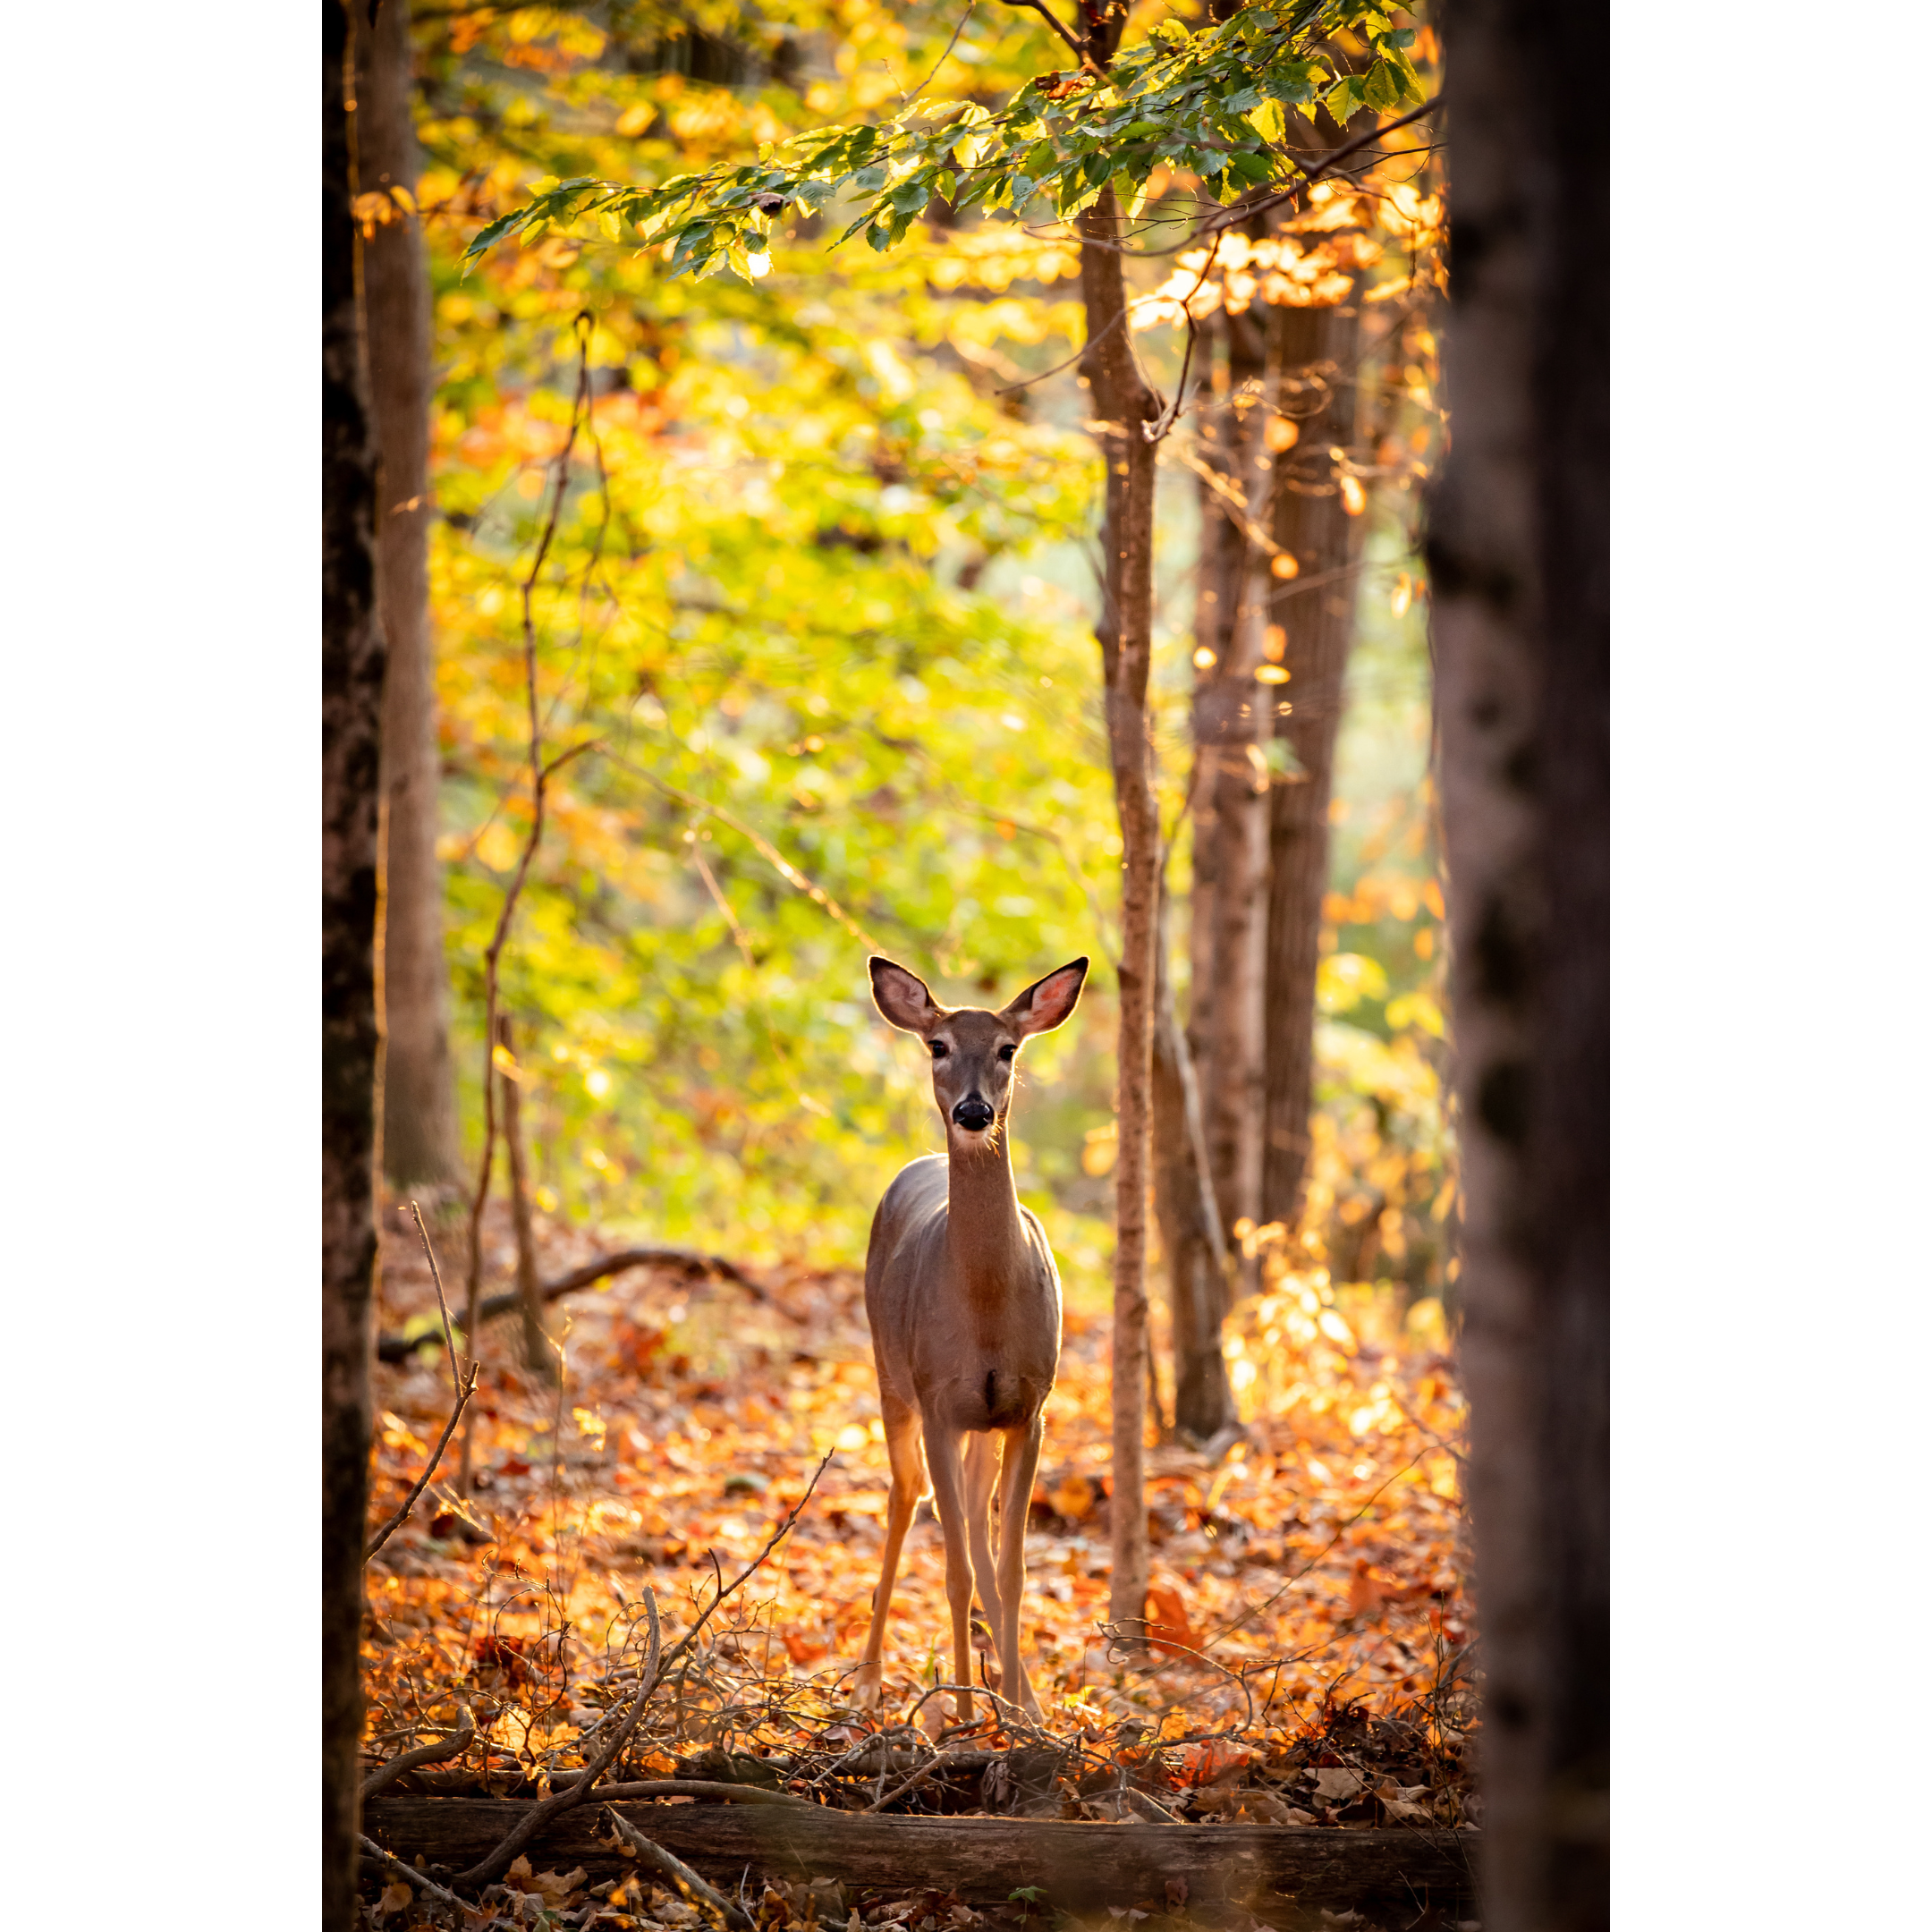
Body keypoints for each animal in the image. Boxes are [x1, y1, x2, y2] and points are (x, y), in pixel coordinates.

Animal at [853, 953, 1089, 1729]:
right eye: (938, 1046)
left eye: (1009, 1049)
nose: (975, 1111)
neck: (985, 1311)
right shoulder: (938, 1401)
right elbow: (954, 1568)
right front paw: (958, 1711)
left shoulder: (1029, 1407)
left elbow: (1010, 1568)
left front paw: (1018, 1711)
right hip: (891, 1375)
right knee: (906, 1498)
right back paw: (868, 1682)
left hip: (980, 1424)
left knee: (975, 1525)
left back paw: (1022, 1699)